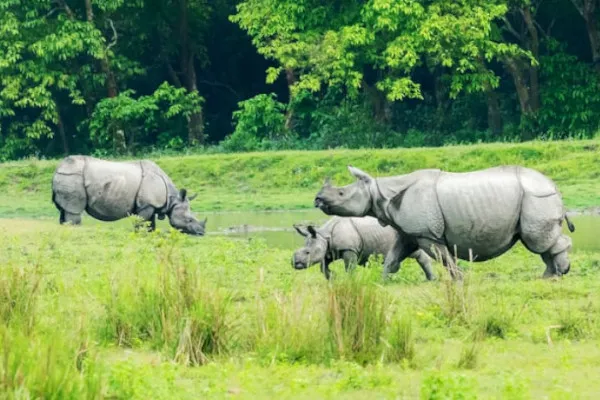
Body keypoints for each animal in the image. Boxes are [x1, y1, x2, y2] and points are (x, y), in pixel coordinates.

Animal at [52, 154, 206, 234]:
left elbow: (151, 224)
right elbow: (141, 222)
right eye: (189, 220)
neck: (172, 199)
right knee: (74, 212)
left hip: (67, 177)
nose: (201, 233)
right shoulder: (146, 205)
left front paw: (149, 234)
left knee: (63, 211)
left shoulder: (149, 205)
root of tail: (57, 169)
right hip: (72, 177)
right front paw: (138, 234)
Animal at [290, 217, 432, 280]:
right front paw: (333, 277)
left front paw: (350, 280)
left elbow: (349, 267)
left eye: (307, 252)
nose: (295, 264)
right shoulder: (330, 250)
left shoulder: (349, 249)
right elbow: (323, 266)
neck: (324, 235)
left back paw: (430, 279)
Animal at [312, 164, 576, 280]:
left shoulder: (427, 233)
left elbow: (445, 258)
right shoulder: (410, 232)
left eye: (341, 194)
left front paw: (459, 279)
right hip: (534, 197)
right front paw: (384, 280)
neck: (380, 192)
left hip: (536, 196)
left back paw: (558, 273)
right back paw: (548, 275)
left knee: (537, 240)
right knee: (539, 242)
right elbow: (392, 258)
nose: (317, 199)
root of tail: (554, 185)